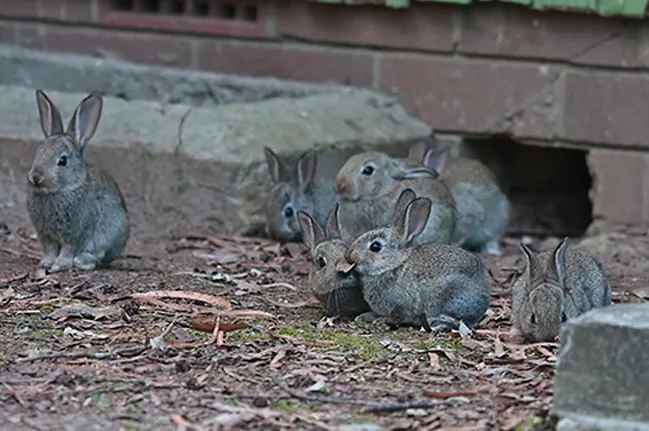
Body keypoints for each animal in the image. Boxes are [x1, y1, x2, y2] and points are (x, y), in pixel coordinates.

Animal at [26, 90, 130, 272]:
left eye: (62, 161)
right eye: (38, 152)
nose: (36, 177)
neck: (62, 190)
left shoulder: (76, 232)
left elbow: (69, 248)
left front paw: (61, 264)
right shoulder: (45, 234)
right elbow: (50, 249)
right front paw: (46, 262)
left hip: (112, 231)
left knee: (99, 255)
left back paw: (82, 261)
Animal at [336, 192, 492, 332]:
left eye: (375, 246)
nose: (349, 256)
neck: (393, 264)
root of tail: (485, 297)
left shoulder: (400, 306)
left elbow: (396, 317)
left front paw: (381, 320)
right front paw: (365, 316)